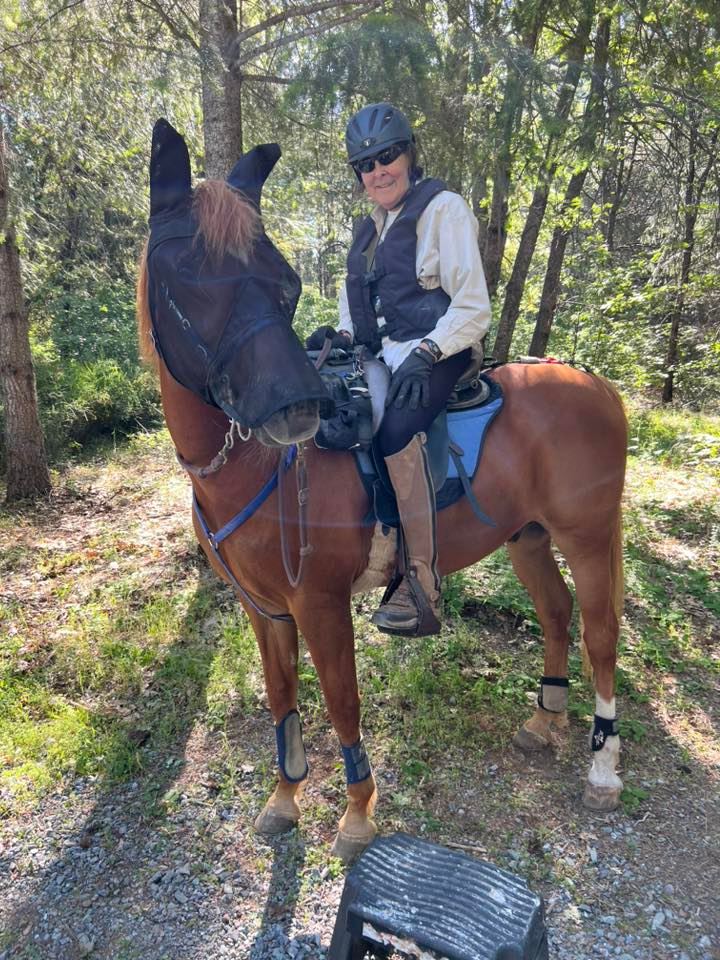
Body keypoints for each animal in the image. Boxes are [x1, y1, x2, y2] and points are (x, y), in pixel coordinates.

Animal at [137, 120, 627, 864]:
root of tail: (595, 385)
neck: (255, 469)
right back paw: (545, 723)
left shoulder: (320, 603)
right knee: (557, 613)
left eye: (284, 281)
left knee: (600, 633)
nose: (297, 410)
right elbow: (281, 698)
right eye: (187, 281)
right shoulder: (264, 609)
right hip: (528, 538)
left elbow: (342, 702)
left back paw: (602, 766)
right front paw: (284, 797)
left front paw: (358, 813)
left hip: (588, 537)